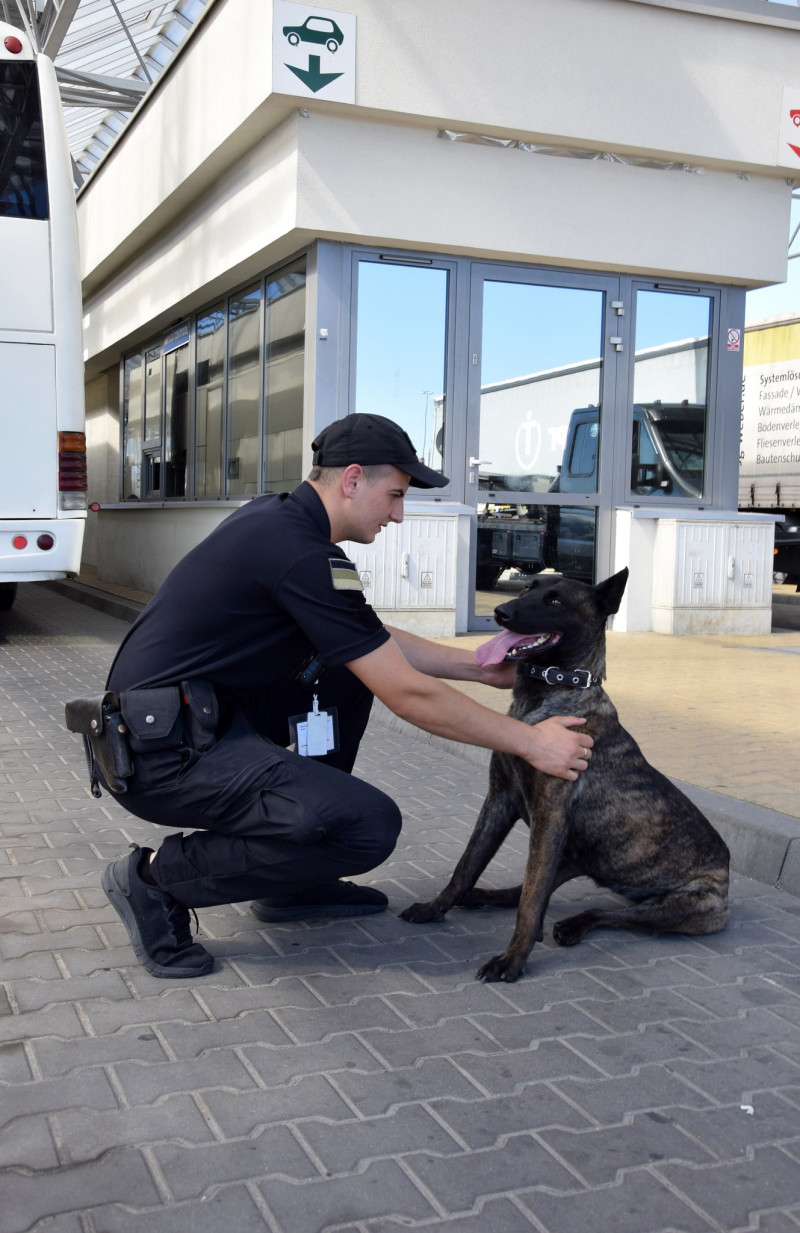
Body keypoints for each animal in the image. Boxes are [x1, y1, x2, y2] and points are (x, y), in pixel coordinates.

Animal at [401, 567, 724, 981]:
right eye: (528, 587)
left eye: (555, 601)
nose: (501, 612)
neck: (547, 697)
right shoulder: (499, 800)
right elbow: (467, 865)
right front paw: (435, 907)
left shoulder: (549, 815)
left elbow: (531, 900)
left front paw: (512, 960)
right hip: (569, 856)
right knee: (530, 888)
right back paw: (485, 896)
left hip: (690, 905)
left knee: (606, 912)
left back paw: (572, 925)